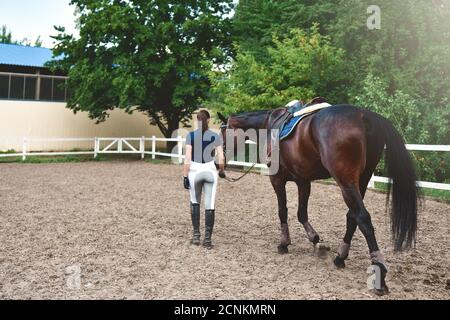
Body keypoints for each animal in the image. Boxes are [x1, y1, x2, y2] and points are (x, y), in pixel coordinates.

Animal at [218, 105, 418, 296]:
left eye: (222, 134)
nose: (218, 163)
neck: (270, 124)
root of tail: (362, 114)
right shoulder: (303, 181)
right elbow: (301, 213)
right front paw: (315, 240)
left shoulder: (277, 179)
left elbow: (283, 211)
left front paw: (284, 243)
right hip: (361, 181)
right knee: (352, 216)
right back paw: (340, 257)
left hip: (346, 182)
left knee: (363, 218)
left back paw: (379, 275)